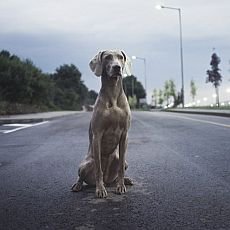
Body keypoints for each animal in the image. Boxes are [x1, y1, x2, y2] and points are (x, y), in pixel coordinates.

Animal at [72, 49, 133, 198]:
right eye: (107, 57)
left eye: (121, 57)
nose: (117, 67)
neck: (113, 95)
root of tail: (107, 180)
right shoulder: (97, 135)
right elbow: (98, 168)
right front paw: (100, 190)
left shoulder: (125, 135)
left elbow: (121, 168)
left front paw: (121, 186)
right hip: (84, 164)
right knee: (82, 176)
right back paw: (78, 185)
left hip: (122, 161)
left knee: (119, 170)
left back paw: (124, 180)